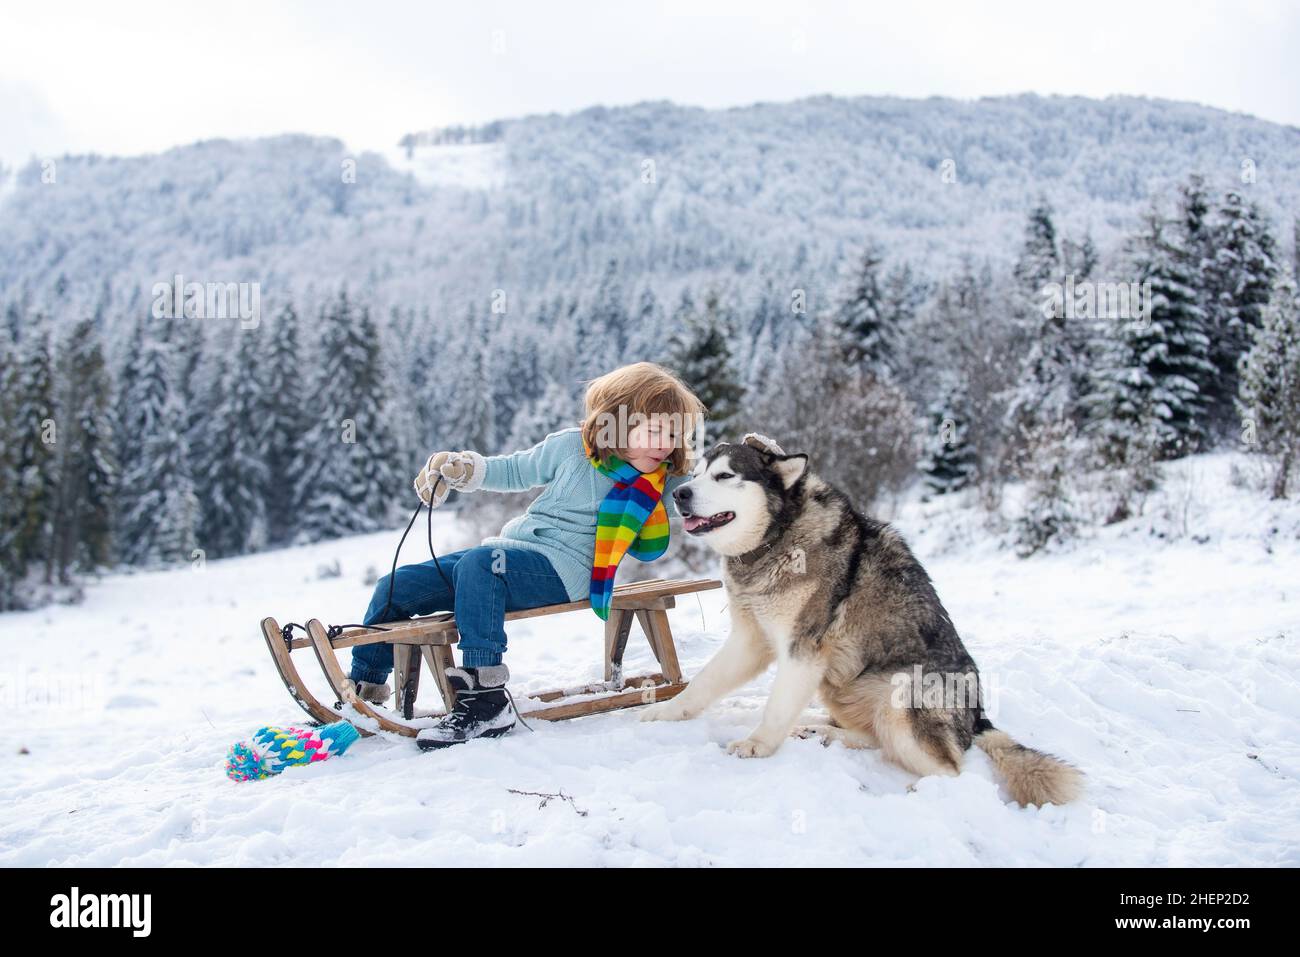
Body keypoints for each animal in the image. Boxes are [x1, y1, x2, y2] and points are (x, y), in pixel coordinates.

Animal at [642, 434, 1086, 806]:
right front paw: (666, 712)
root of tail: (977, 716)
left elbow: (775, 708)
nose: (680, 492)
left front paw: (758, 745)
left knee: (951, 769)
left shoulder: (802, 650)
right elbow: (702, 684)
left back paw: (919, 792)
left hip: (902, 695)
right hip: (838, 686)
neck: (777, 536)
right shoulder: (750, 640)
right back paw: (822, 732)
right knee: (877, 740)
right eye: (696, 473)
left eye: (725, 475)